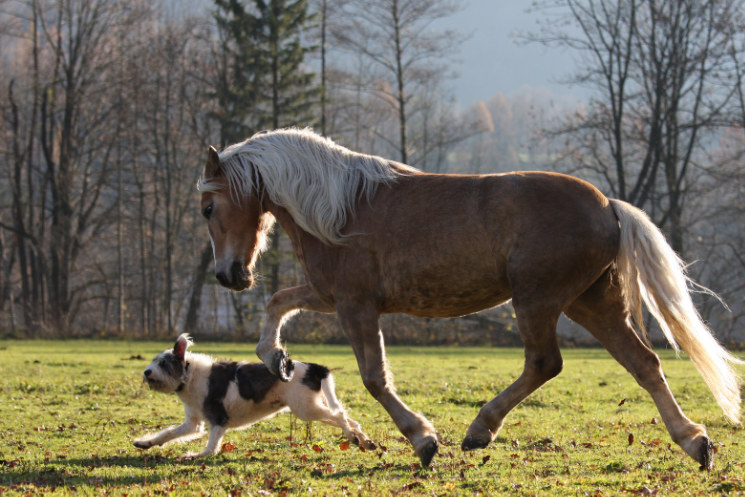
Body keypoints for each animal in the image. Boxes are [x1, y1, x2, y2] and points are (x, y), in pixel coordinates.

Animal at [133, 334, 374, 458]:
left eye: (163, 363)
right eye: (154, 361)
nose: (146, 372)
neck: (189, 374)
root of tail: (314, 367)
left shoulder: (218, 419)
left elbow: (211, 447)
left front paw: (196, 455)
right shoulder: (193, 423)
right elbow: (168, 433)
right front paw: (145, 443)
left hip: (306, 409)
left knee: (340, 415)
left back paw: (355, 437)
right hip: (311, 407)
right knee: (349, 419)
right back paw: (363, 440)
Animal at [196, 127, 740, 468]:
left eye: (207, 208)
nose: (229, 276)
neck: (341, 209)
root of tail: (609, 205)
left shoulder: (356, 306)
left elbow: (375, 378)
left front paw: (423, 439)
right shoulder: (330, 295)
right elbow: (277, 303)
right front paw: (277, 358)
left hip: (539, 300)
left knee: (545, 363)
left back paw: (480, 429)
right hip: (591, 302)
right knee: (644, 363)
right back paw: (695, 442)